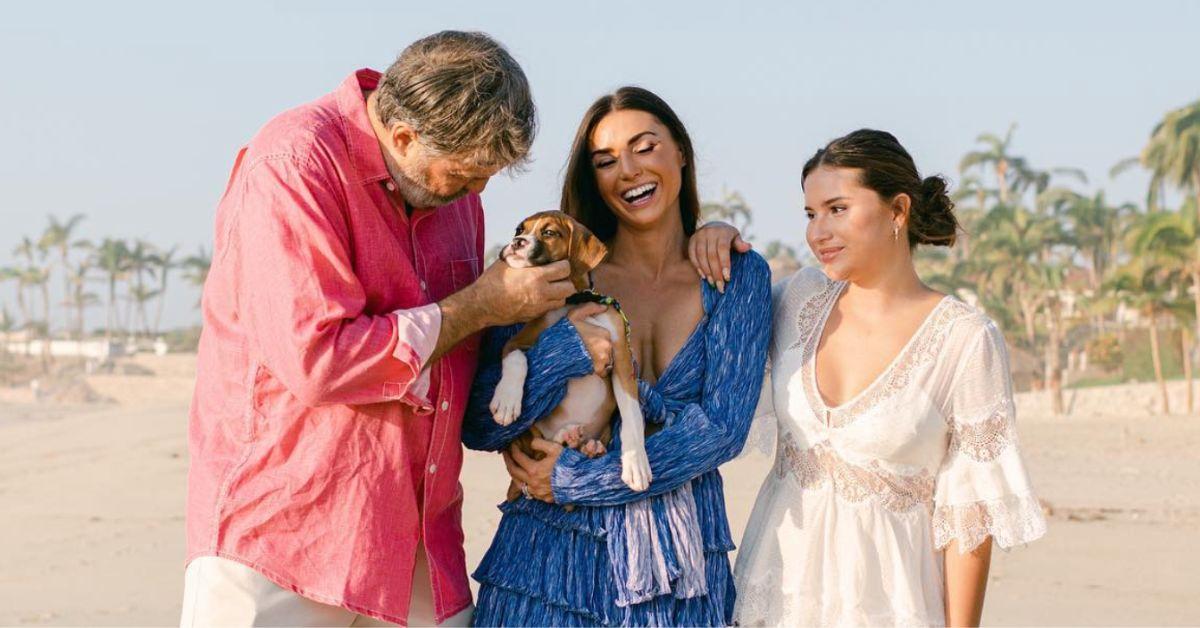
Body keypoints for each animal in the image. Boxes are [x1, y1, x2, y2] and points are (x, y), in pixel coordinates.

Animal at [489, 211, 652, 501]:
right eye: (520, 229)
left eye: (549, 233)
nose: (517, 242)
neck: (570, 302)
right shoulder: (515, 342)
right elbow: (516, 360)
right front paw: (506, 401)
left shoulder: (622, 360)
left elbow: (632, 415)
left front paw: (637, 465)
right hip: (530, 433)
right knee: (539, 446)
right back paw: (568, 436)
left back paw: (587, 446)